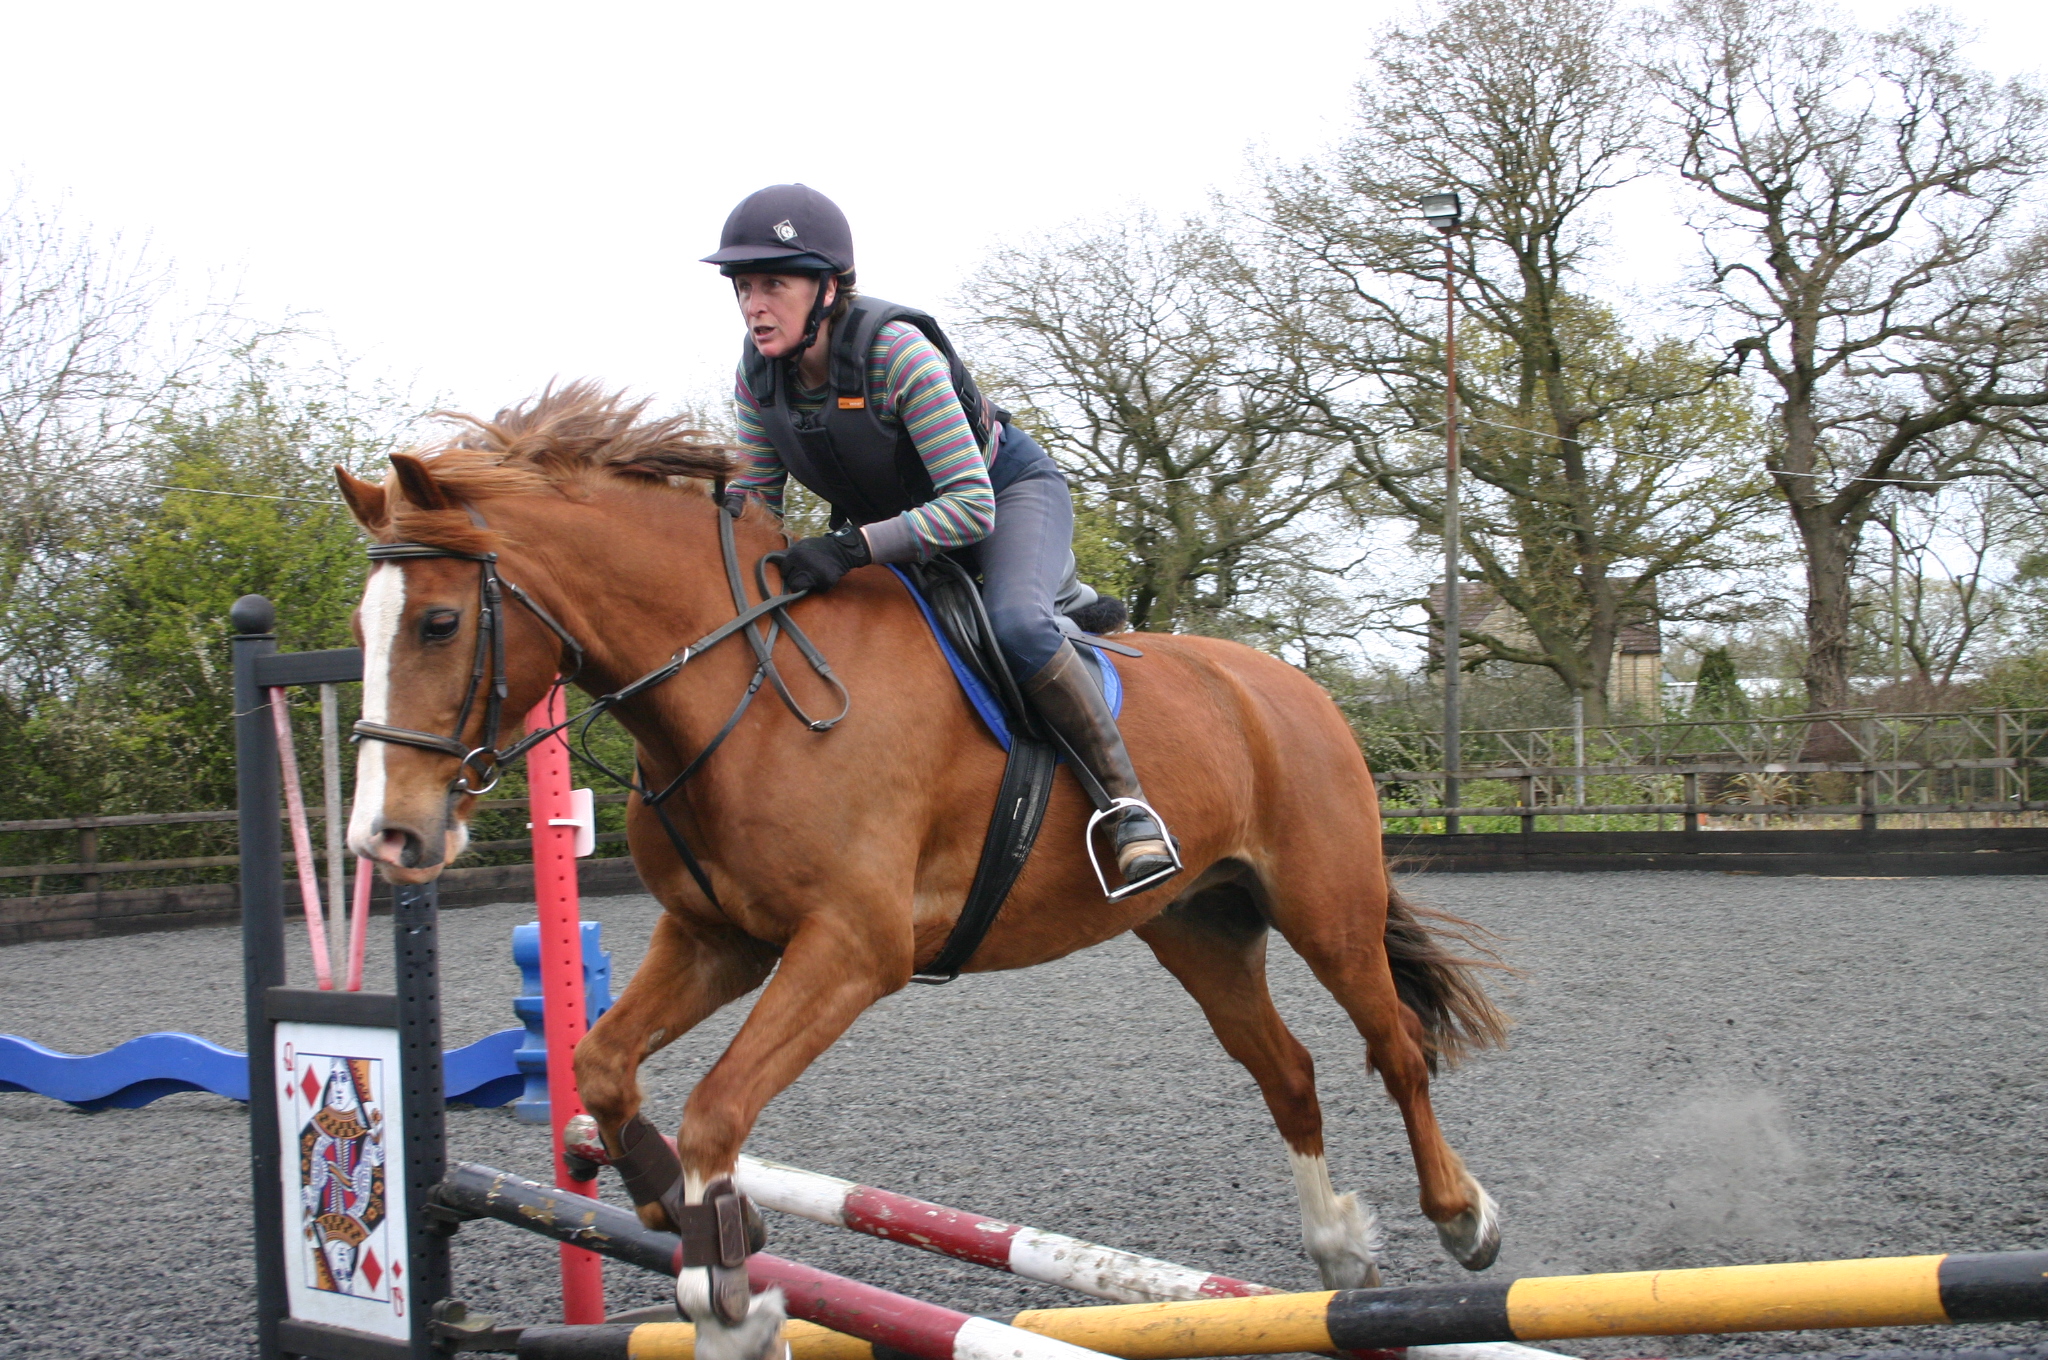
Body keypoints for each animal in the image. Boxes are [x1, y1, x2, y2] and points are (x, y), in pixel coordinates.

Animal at [339, 384, 1509, 1358]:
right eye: (365, 625)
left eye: (439, 622)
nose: (386, 840)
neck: (741, 687)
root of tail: (1292, 688)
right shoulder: (720, 940)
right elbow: (602, 1067)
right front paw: (686, 1211)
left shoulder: (853, 950)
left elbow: (718, 1108)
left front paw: (729, 1296)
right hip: (1198, 927)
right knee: (1286, 1069)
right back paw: (1336, 1248)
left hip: (1326, 906)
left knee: (1393, 1048)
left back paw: (1462, 1221)